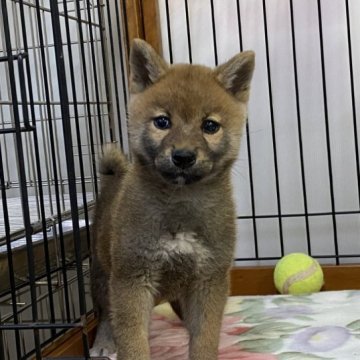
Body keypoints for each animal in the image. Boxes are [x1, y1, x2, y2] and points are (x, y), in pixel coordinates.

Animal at [90, 38, 253, 358]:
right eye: (162, 122)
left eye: (210, 126)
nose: (183, 156)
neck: (180, 205)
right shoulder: (131, 278)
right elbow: (133, 340)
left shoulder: (209, 279)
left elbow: (204, 337)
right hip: (103, 275)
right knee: (106, 314)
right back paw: (104, 342)